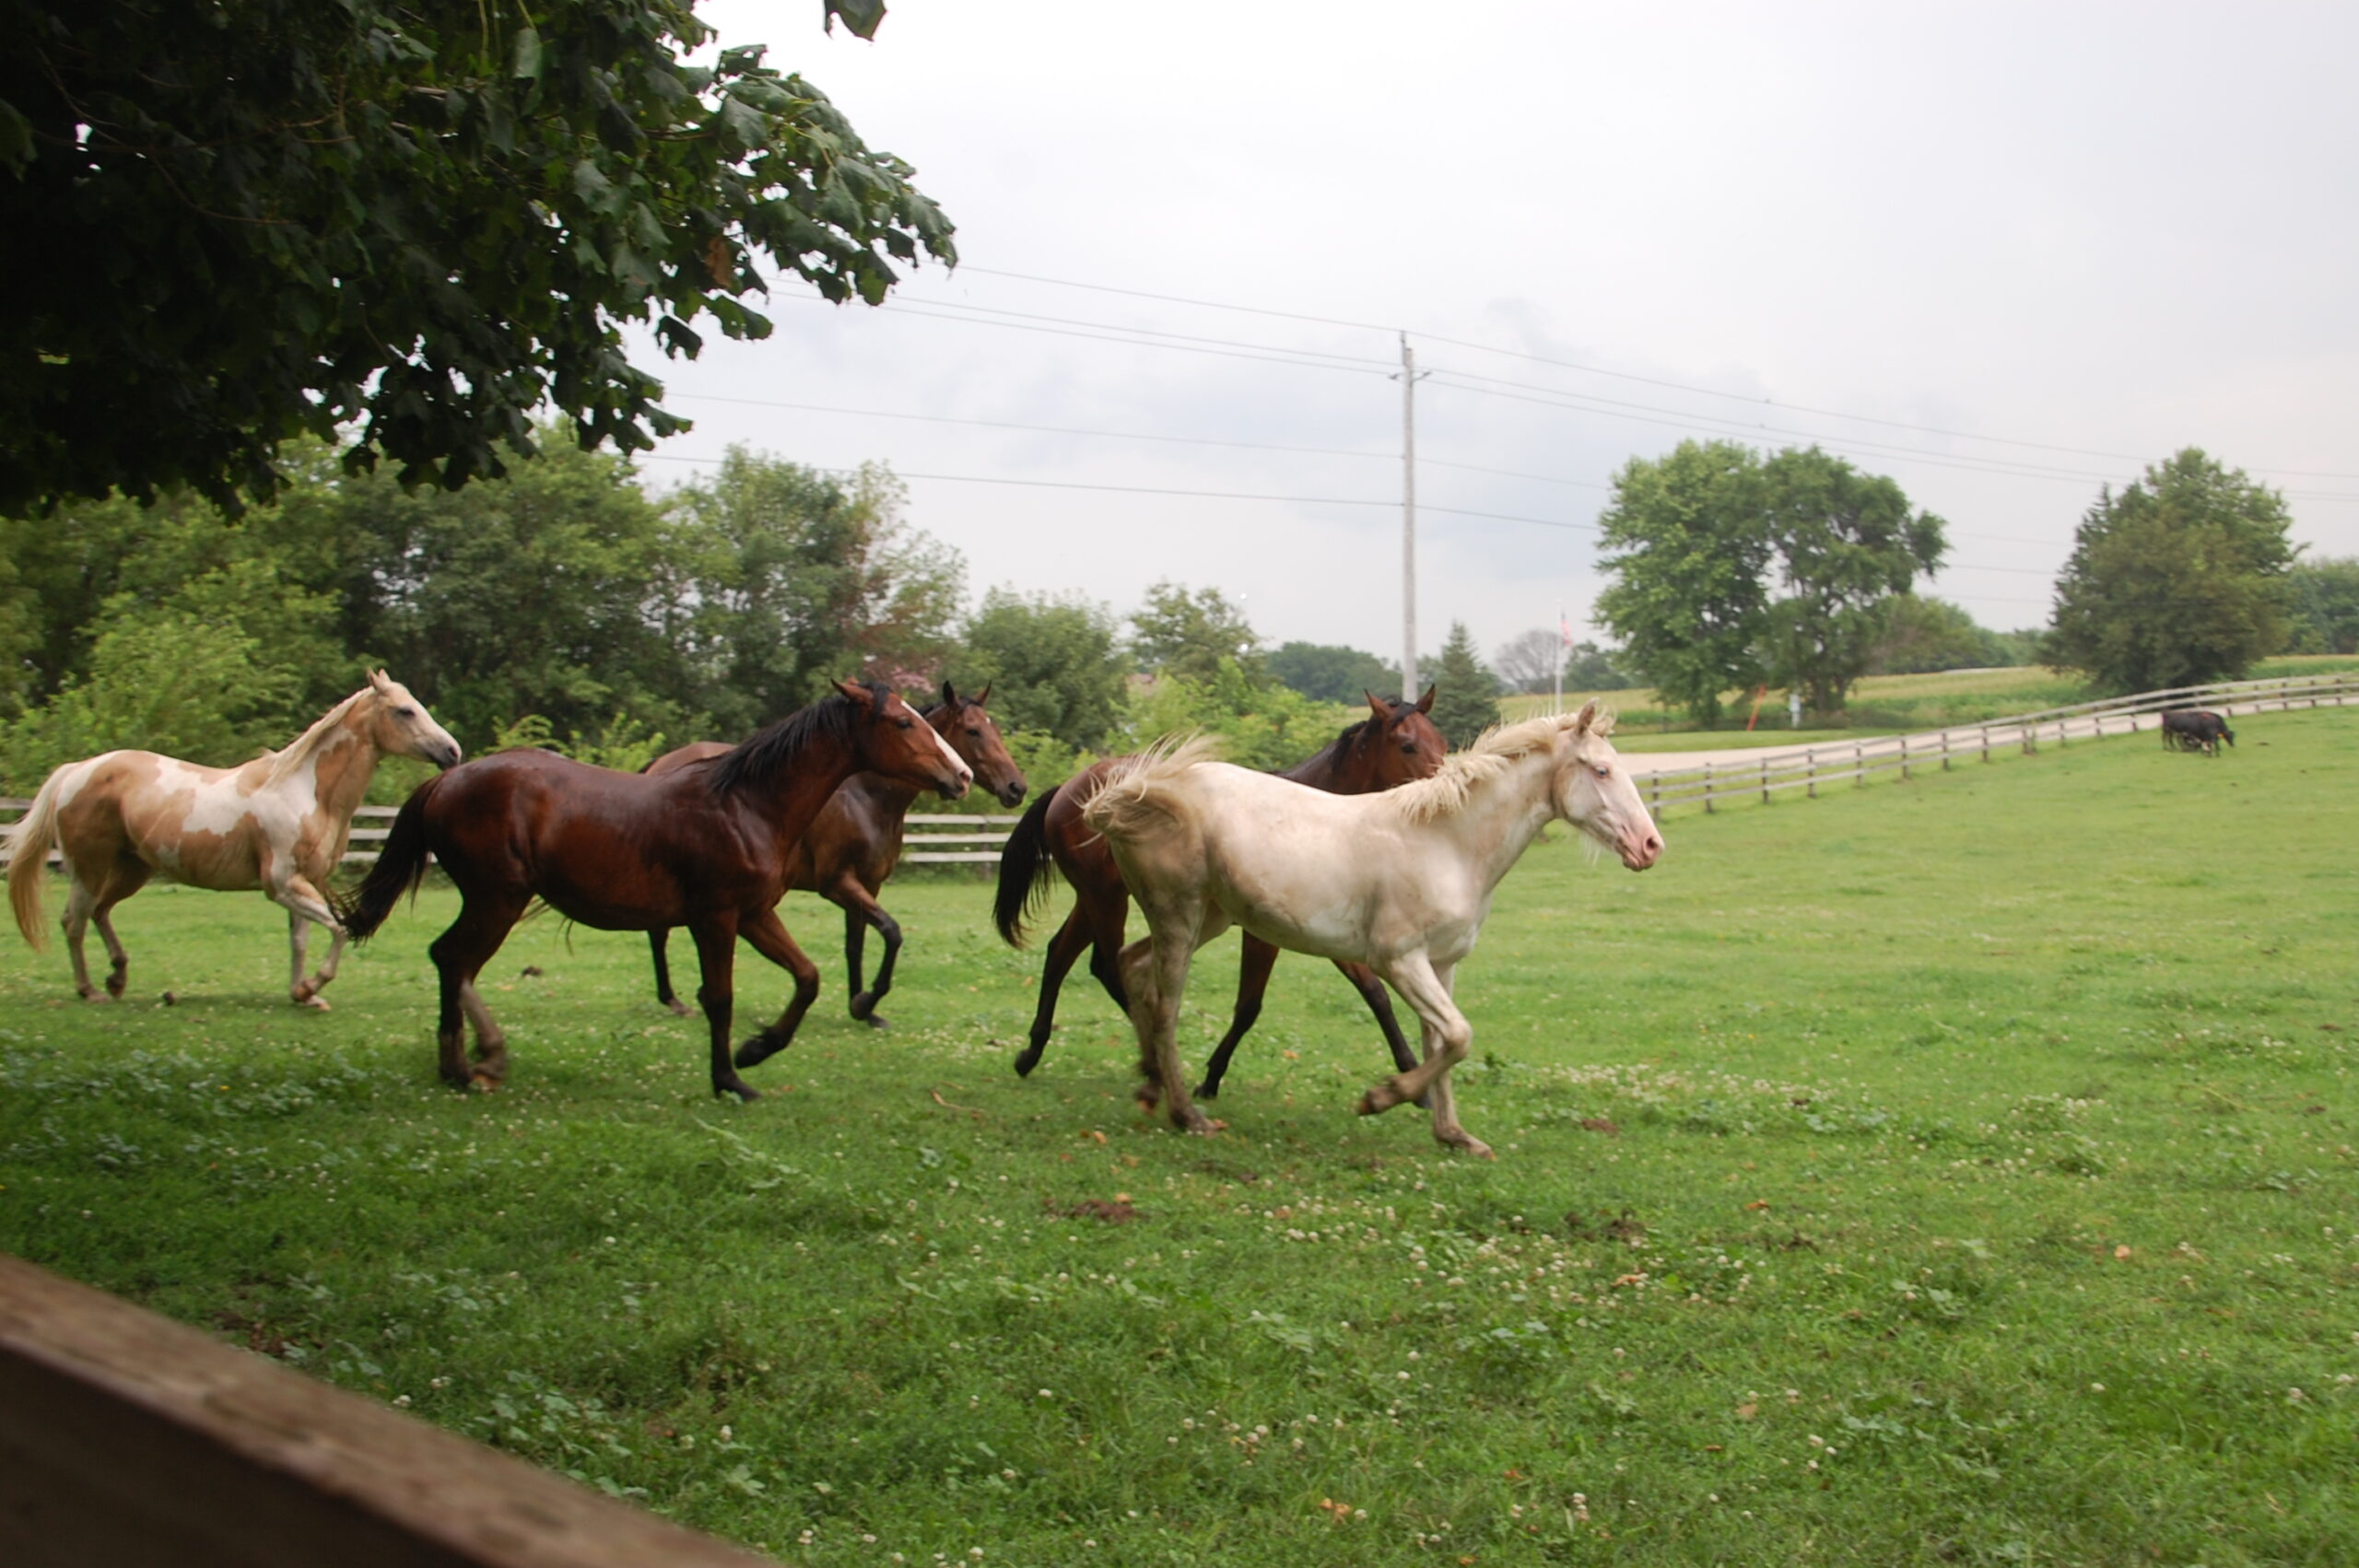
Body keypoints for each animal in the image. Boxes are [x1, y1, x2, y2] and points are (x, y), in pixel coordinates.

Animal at [5, 671, 461, 1007]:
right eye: (405, 711)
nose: (453, 751)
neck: (305, 791)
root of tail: (76, 771)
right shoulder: (281, 884)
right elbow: (338, 929)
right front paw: (312, 986)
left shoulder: (303, 883)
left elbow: (299, 941)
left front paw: (302, 994)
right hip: (89, 868)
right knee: (75, 921)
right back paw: (90, 990)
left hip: (132, 869)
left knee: (100, 913)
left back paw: (117, 978)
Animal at [341, 681, 972, 1101]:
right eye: (903, 724)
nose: (962, 775)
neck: (747, 804)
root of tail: (445, 780)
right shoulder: (716, 917)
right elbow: (720, 997)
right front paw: (730, 1078)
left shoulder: (755, 914)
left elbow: (808, 978)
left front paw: (756, 1049)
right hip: (496, 899)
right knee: (453, 959)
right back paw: (464, 1065)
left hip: (493, 901)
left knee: (453, 962)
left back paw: (473, 1060)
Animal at [641, 683, 1028, 1030]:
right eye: (973, 731)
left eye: (994, 729)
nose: (1017, 787)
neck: (864, 796)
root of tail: (659, 765)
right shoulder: (837, 883)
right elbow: (891, 932)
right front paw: (866, 1001)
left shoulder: (868, 885)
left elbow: (856, 944)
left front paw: (863, 1009)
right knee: (659, 932)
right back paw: (675, 1000)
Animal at [994, 689, 1445, 1094]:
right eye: (1407, 744)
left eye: (1441, 742)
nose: (1443, 794)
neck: (1313, 819)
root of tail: (1067, 789)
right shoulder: (1263, 935)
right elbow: (1248, 1006)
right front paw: (1210, 1078)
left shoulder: (1327, 925)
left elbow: (1375, 993)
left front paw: (1413, 1078)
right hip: (1106, 900)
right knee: (1105, 966)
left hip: (1095, 899)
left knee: (1060, 954)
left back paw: (1031, 1053)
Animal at [1083, 701, 1662, 1157]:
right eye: (1602, 770)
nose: (1651, 845)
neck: (1446, 842)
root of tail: (1139, 792)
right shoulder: (1398, 960)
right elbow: (1458, 1036)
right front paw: (1379, 1098)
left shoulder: (1441, 965)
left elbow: (1441, 1043)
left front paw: (1454, 1135)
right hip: (1179, 916)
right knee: (1165, 1007)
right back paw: (1188, 1114)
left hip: (1210, 918)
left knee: (1133, 967)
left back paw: (1150, 1085)